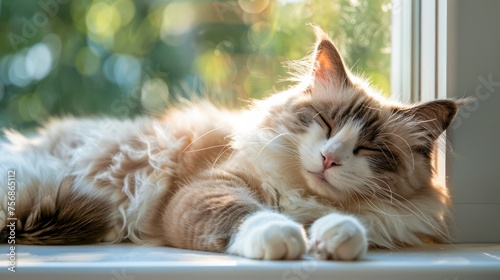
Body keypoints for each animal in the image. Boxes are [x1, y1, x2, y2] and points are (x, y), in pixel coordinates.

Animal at [0, 27, 462, 262]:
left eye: (369, 150)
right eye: (327, 122)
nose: (329, 158)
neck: (302, 199)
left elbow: (346, 224)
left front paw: (333, 239)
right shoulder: (209, 188)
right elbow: (246, 215)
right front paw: (284, 236)